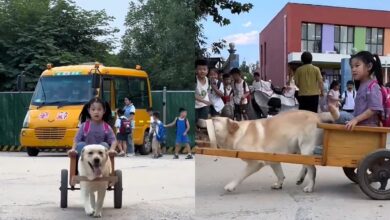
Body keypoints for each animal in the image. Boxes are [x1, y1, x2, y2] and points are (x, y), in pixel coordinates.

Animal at [200, 110, 334, 192]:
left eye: (214, 120)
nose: (198, 120)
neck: (238, 134)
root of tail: (318, 115)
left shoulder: (256, 162)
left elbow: (240, 175)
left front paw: (231, 186)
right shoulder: (273, 159)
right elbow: (280, 174)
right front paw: (279, 184)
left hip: (305, 147)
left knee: (313, 169)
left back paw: (310, 186)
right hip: (300, 148)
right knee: (306, 164)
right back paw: (300, 178)